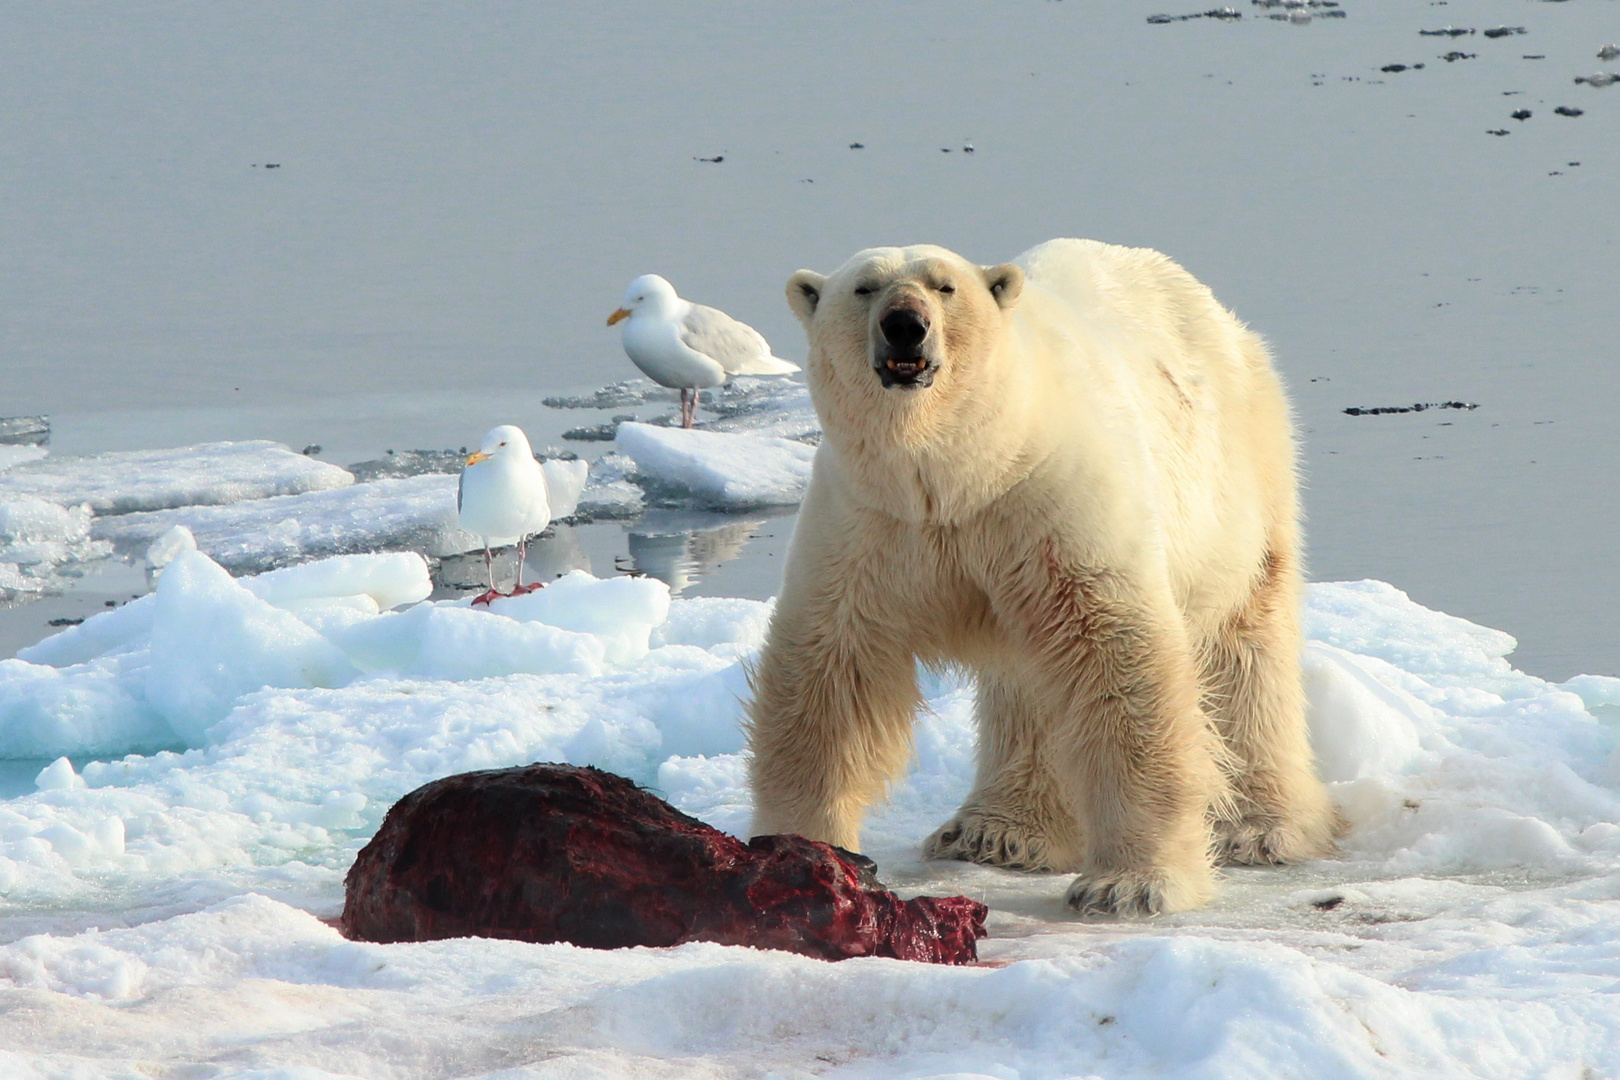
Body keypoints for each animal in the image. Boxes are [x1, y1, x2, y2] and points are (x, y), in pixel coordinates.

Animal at [745, 241, 1341, 919]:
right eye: (864, 288)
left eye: (945, 287)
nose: (905, 324)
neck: (963, 469)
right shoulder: (870, 520)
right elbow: (829, 670)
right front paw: (797, 847)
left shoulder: (1051, 498)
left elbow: (1120, 666)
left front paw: (1130, 885)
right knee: (1026, 684)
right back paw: (995, 831)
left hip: (1238, 482)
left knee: (1245, 647)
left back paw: (1262, 827)